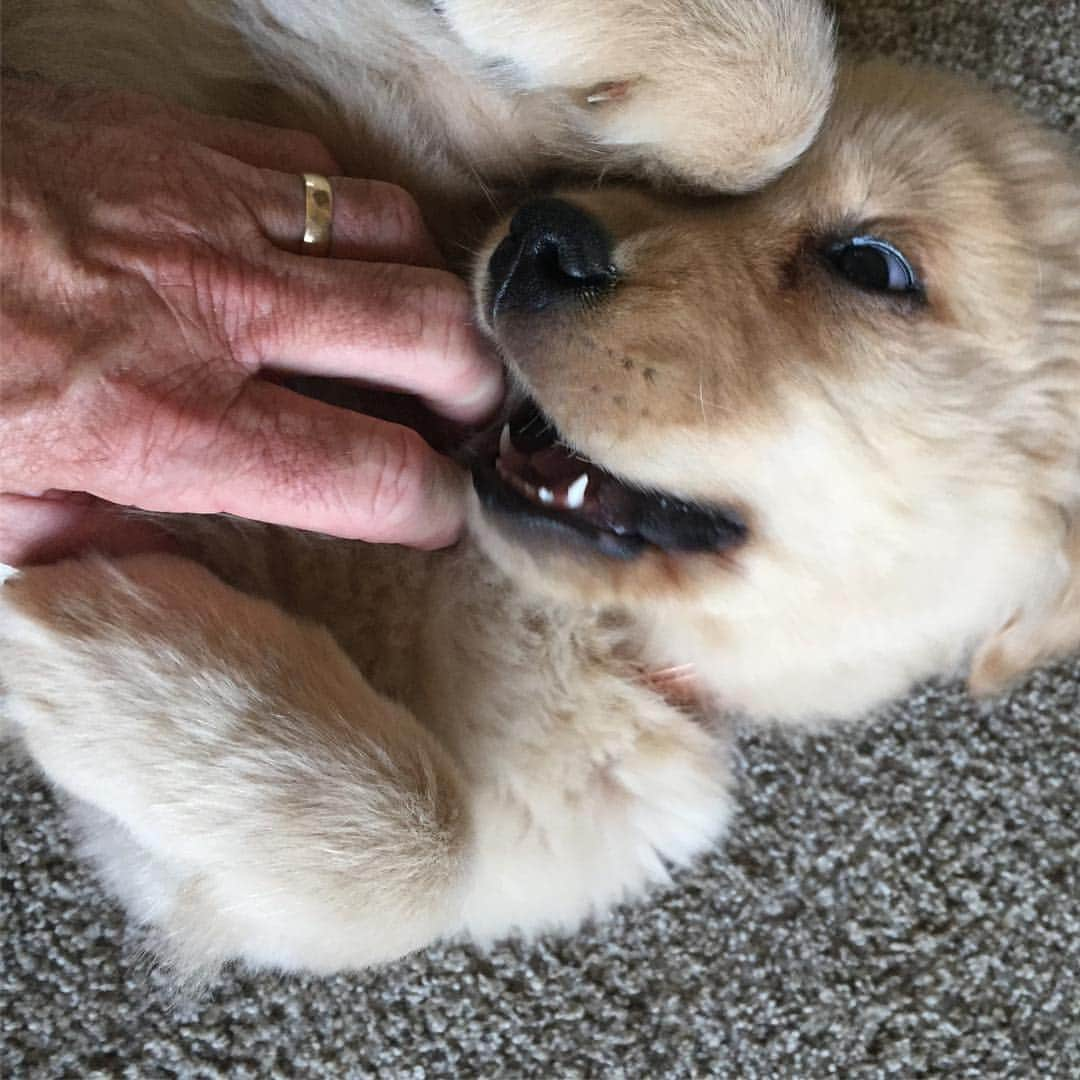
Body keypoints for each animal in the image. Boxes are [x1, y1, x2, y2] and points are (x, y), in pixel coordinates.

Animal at [2, 2, 1080, 980]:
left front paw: (86, 652)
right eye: (681, 198)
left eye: (872, 266)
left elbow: (426, 861)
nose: (539, 240)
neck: (533, 602)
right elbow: (773, 95)